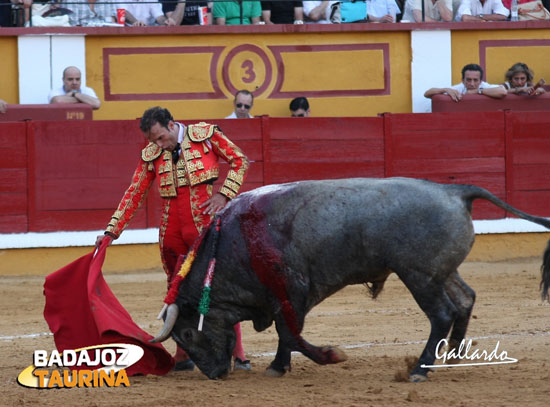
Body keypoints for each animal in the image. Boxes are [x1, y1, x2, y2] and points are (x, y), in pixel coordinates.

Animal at [151, 178, 550, 382]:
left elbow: (289, 332)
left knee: (441, 314)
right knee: (466, 299)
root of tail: (454, 191)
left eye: (187, 334)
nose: (215, 374)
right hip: (442, 272)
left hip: (419, 276)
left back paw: (420, 369)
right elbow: (286, 333)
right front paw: (279, 367)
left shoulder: (292, 291)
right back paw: (451, 357)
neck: (232, 243)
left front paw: (329, 356)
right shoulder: (286, 297)